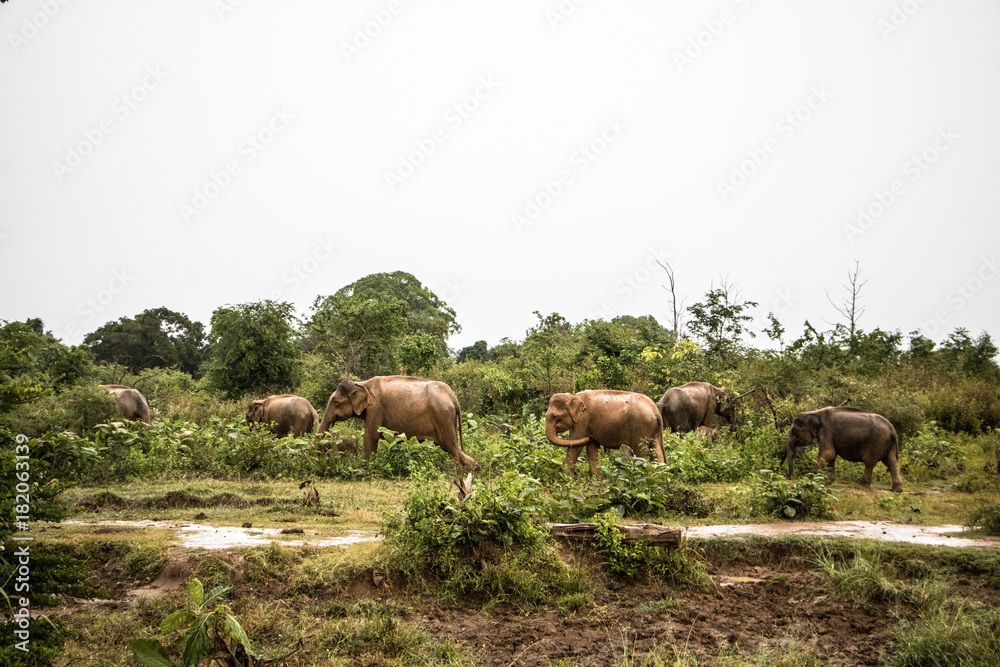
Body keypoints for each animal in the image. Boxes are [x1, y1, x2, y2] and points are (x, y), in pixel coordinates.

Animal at [317, 376, 476, 468]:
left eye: (335, 401)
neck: (361, 383)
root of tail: (453, 397)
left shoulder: (376, 408)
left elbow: (370, 436)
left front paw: (365, 466)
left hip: (444, 416)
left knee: (453, 449)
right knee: (451, 448)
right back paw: (474, 467)